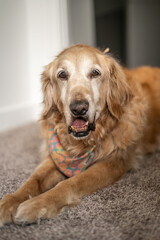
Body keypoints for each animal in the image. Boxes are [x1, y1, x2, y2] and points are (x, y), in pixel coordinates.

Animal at [0, 44, 160, 225]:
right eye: (62, 75)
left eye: (95, 73)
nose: (78, 108)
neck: (82, 144)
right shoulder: (53, 158)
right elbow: (33, 179)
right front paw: (11, 200)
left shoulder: (114, 161)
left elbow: (72, 182)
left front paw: (37, 204)